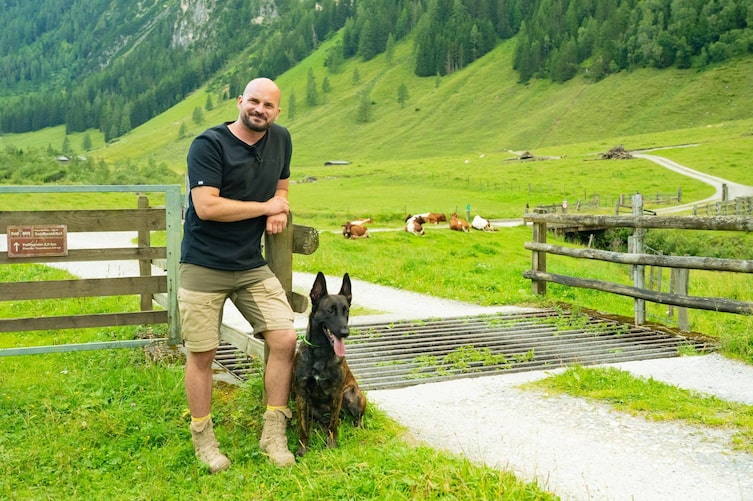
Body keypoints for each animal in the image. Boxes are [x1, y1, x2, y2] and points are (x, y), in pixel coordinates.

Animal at [290, 272, 368, 456]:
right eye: (330, 310)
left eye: (346, 311)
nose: (345, 332)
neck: (321, 353)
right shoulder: (301, 395)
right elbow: (303, 427)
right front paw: (302, 449)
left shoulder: (337, 393)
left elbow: (334, 424)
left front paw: (331, 445)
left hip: (351, 395)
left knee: (356, 417)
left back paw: (358, 429)